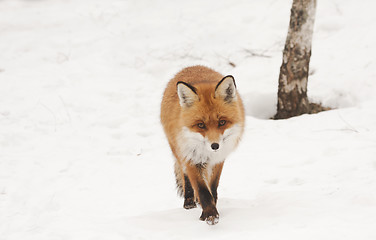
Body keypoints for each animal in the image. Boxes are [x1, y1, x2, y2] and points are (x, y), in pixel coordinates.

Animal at [160, 65, 245, 225]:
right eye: (200, 125)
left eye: (222, 122)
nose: (215, 146)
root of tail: (192, 66)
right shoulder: (191, 157)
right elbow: (202, 190)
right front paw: (210, 215)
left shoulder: (219, 160)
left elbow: (213, 187)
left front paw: (212, 208)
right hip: (178, 151)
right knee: (185, 177)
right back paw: (189, 202)